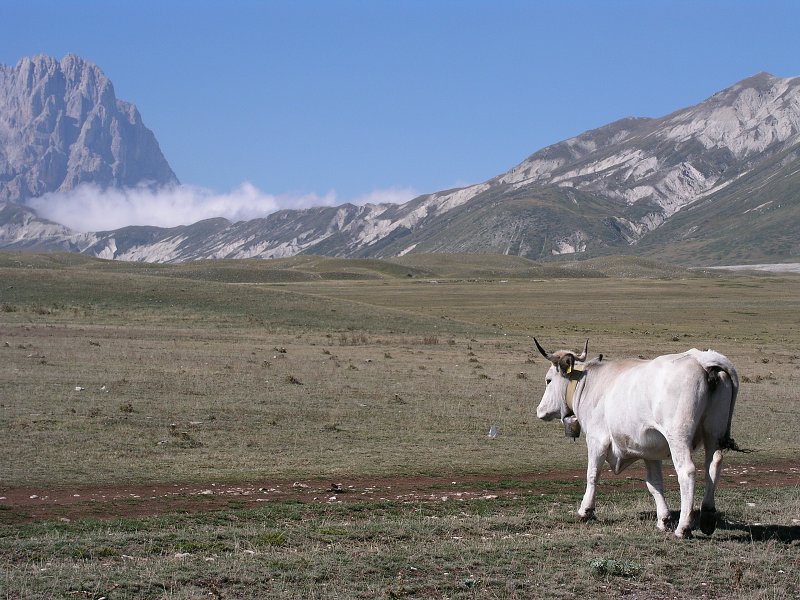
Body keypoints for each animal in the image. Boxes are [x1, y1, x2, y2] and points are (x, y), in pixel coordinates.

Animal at [536, 338, 740, 540]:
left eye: (548, 380)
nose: (539, 410)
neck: (588, 383)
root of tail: (702, 359)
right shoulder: (651, 452)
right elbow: (654, 483)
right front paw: (663, 519)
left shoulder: (596, 440)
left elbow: (592, 474)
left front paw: (585, 511)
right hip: (713, 434)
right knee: (713, 465)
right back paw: (707, 517)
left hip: (678, 438)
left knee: (687, 471)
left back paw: (683, 527)